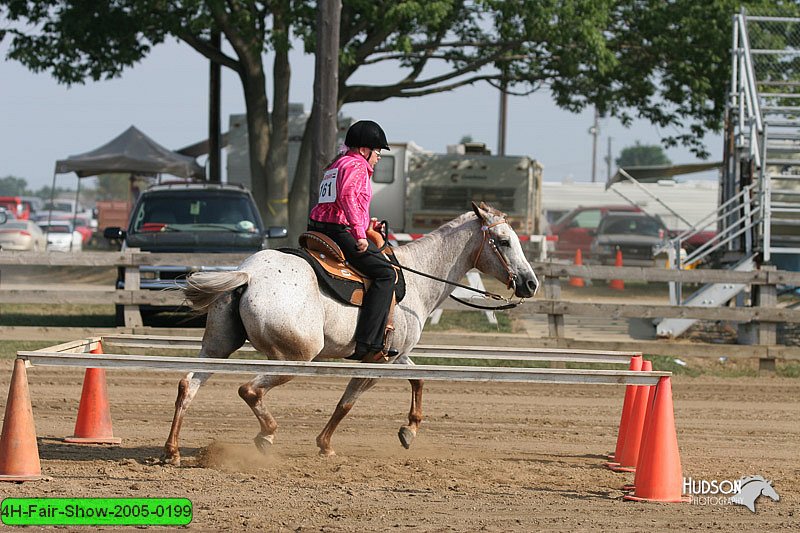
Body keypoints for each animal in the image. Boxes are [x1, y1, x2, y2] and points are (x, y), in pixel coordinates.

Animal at [161, 202, 536, 464]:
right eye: (504, 241)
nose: (530, 283)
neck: (417, 277)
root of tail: (248, 275)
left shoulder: (393, 356)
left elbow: (417, 378)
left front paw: (409, 430)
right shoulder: (375, 363)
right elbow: (347, 402)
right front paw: (325, 445)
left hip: (217, 346)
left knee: (188, 385)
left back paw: (172, 450)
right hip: (295, 358)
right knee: (249, 389)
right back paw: (266, 436)